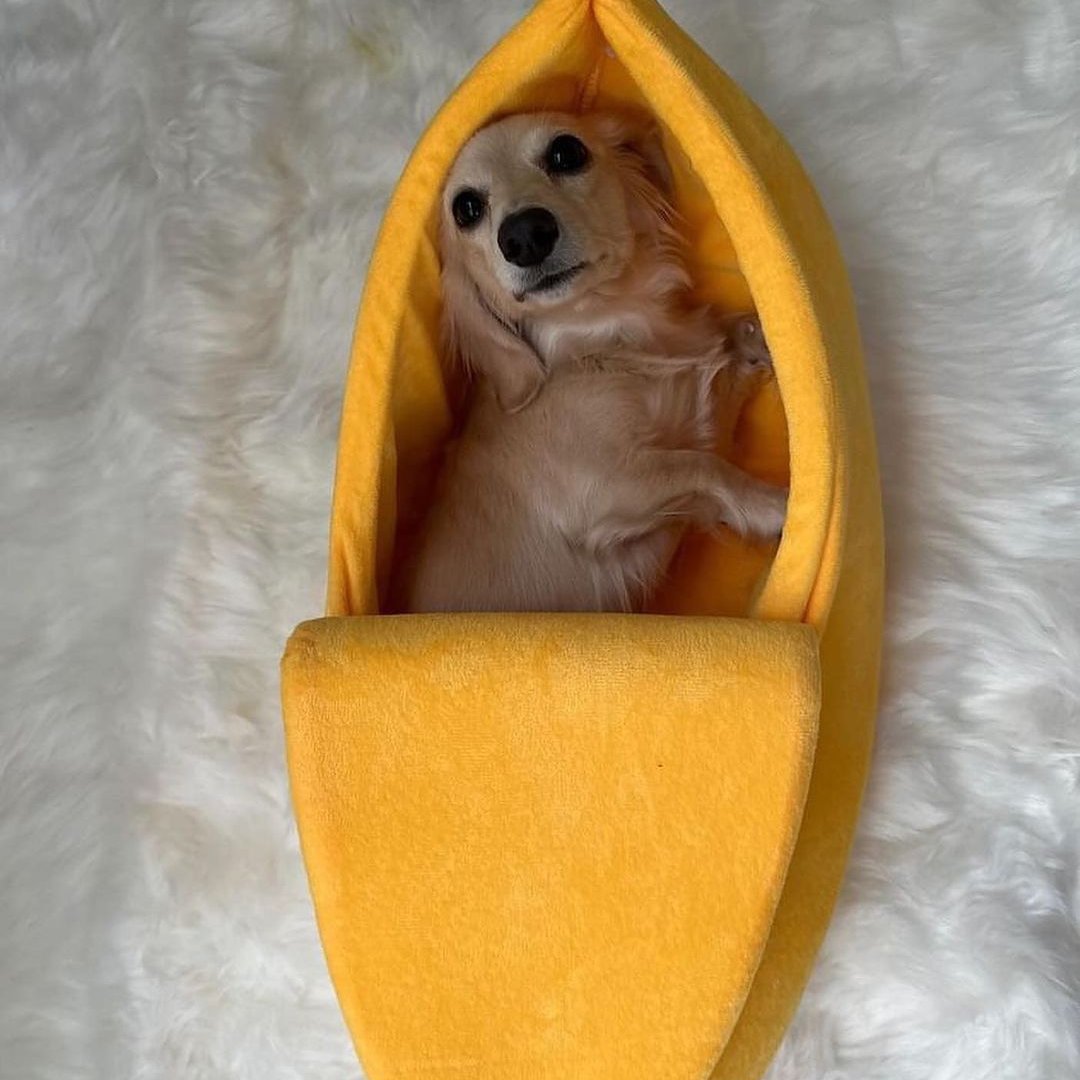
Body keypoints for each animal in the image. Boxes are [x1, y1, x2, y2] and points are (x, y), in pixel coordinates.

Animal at [393, 110, 790, 617]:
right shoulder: (604, 489)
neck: (606, 337)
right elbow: (703, 466)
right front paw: (773, 504)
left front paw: (764, 337)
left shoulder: (702, 403)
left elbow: (730, 342)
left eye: (567, 152)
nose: (524, 235)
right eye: (465, 208)